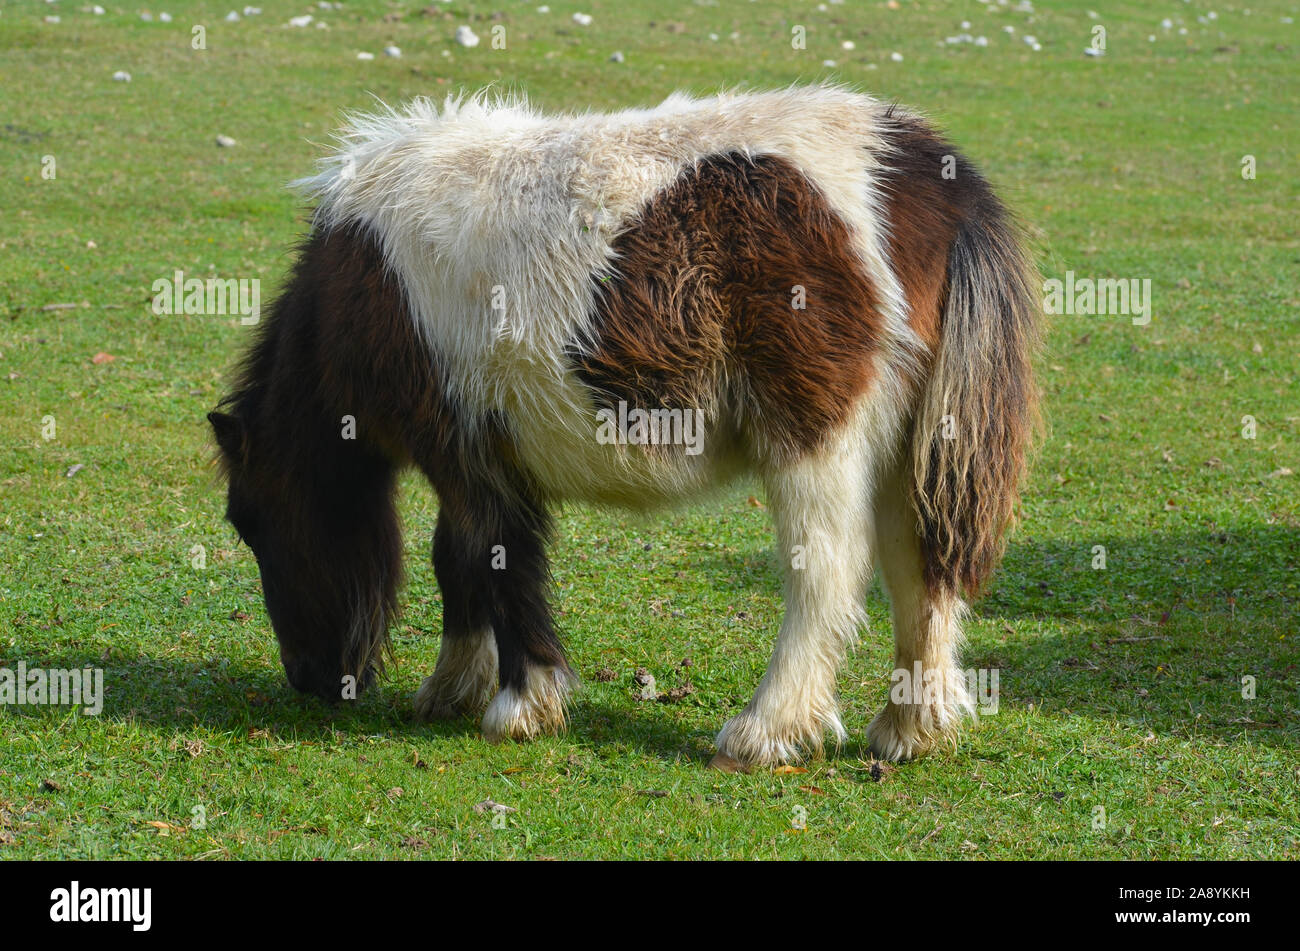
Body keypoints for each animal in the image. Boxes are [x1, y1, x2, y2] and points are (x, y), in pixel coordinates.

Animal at [209, 86, 1040, 771]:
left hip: (818, 440)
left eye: (253, 520)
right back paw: (910, 729)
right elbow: (461, 561)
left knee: (827, 572)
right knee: (920, 566)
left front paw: (520, 703)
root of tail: (916, 174)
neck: (373, 278)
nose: (312, 679)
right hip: (911, 444)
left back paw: (764, 732)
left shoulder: (468, 453)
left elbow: (487, 558)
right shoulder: (476, 457)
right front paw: (455, 685)